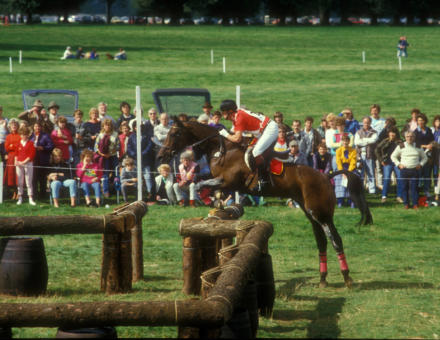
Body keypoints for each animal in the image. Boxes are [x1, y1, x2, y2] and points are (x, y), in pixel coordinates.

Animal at [156, 119, 360, 286]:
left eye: (174, 134)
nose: (160, 156)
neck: (222, 150)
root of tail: (326, 177)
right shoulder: (222, 181)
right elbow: (205, 185)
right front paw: (218, 204)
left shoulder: (229, 181)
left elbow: (200, 184)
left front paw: (216, 203)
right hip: (310, 213)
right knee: (321, 241)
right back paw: (323, 279)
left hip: (321, 213)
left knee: (335, 239)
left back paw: (347, 278)